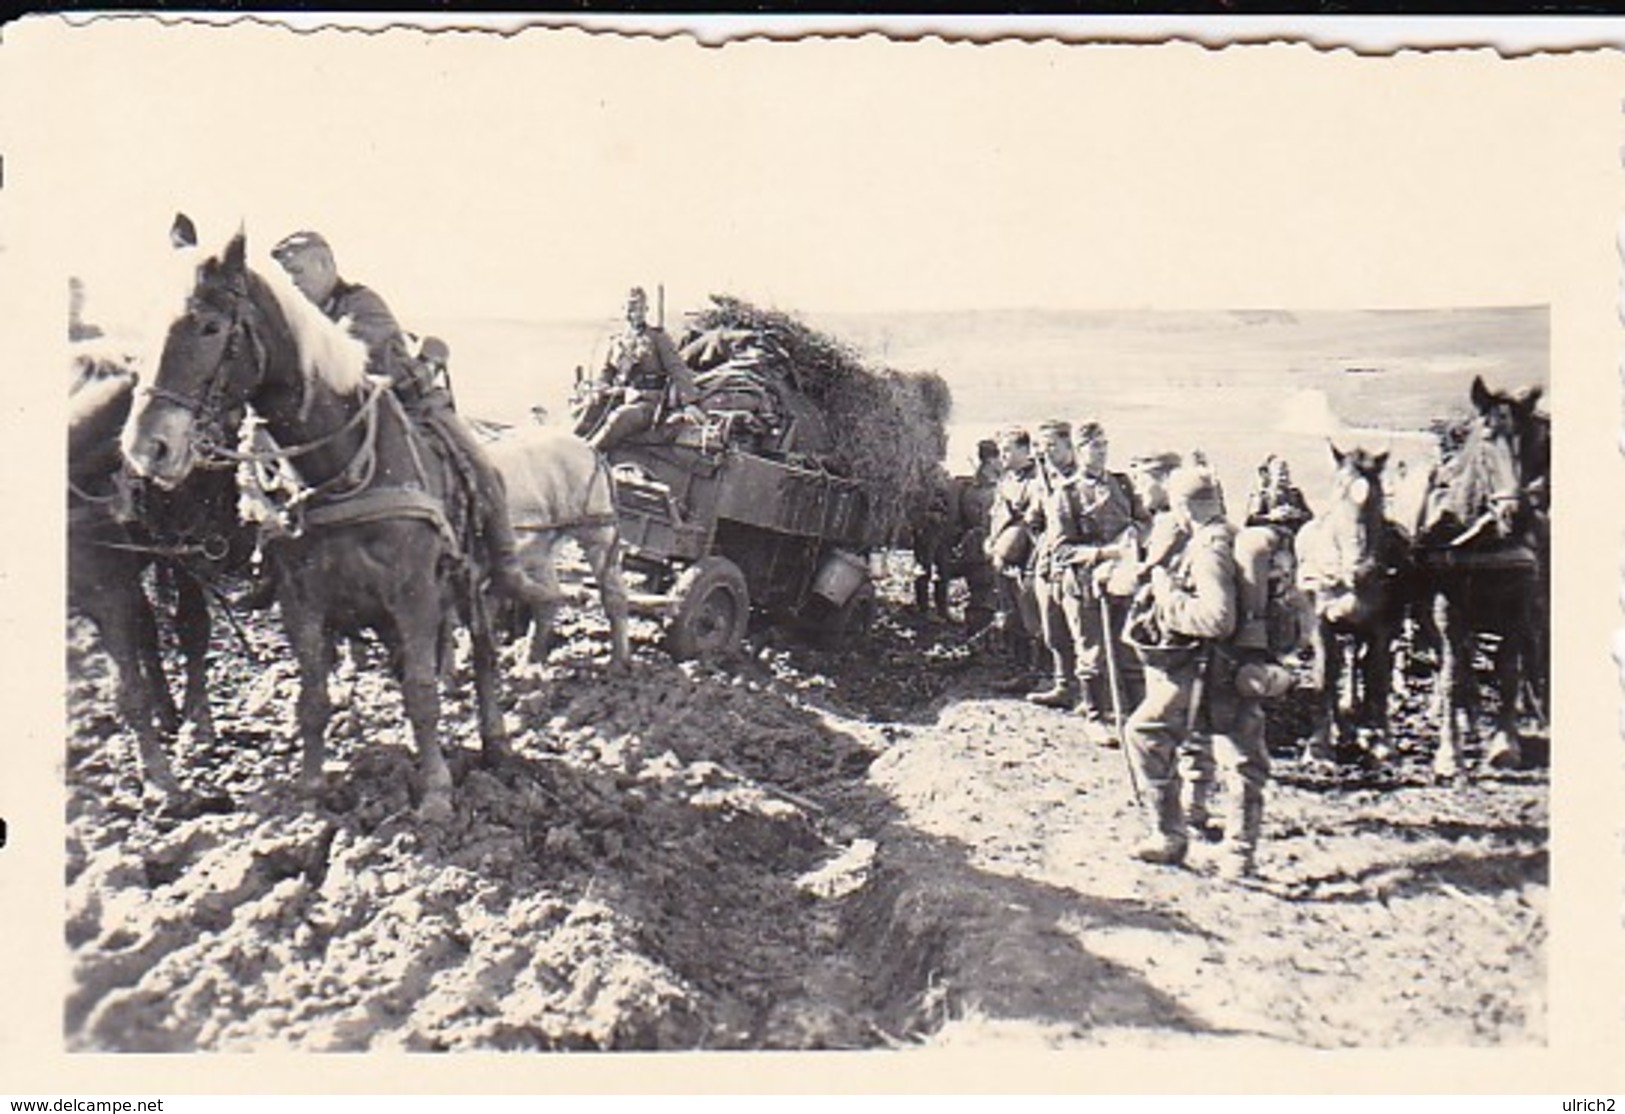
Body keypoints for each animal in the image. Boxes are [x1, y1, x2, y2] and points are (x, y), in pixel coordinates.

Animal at [67, 357, 250, 802]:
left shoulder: (110, 593)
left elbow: (127, 691)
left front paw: (161, 781)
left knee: (189, 628)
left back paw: (196, 726)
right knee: (150, 630)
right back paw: (167, 712)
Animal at [121, 227, 507, 824]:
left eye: (209, 326)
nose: (147, 447)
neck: (340, 467)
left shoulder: (414, 594)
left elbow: (422, 692)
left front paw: (437, 791)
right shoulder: (302, 600)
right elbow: (313, 698)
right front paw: (310, 786)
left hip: (470, 581)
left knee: (484, 652)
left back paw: (495, 741)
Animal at [477, 425, 630, 672]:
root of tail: (591, 449)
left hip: (595, 532)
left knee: (612, 591)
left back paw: (617, 662)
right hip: (546, 544)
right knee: (548, 596)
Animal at [1287, 444, 1417, 766]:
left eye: (1378, 495)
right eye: (1337, 489)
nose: (1362, 570)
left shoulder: (1382, 627)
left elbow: (1377, 678)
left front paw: (1382, 742)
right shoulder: (1321, 623)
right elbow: (1325, 675)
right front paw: (1319, 747)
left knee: (1357, 660)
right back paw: (1341, 726)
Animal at [1410, 375, 1547, 776]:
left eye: (1531, 440)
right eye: (1487, 439)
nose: (1516, 516)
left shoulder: (1518, 608)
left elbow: (1508, 670)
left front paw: (1505, 744)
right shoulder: (1446, 609)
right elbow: (1451, 675)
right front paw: (1449, 751)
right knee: (1449, 661)